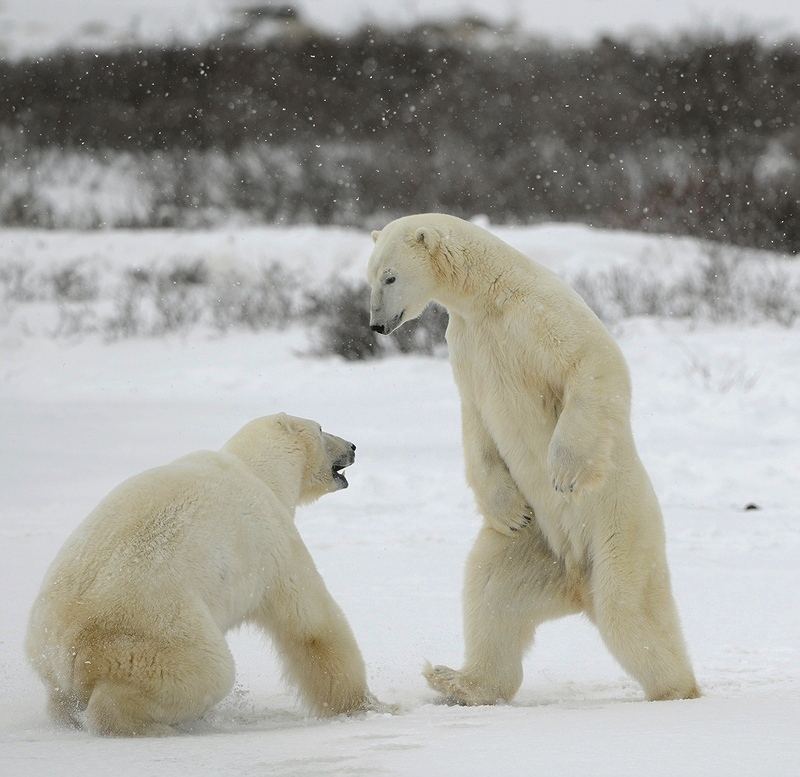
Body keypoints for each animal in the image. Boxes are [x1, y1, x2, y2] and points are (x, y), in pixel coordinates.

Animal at [28, 412, 384, 732]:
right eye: (322, 429)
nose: (353, 446)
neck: (254, 469)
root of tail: (67, 649)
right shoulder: (273, 540)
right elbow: (311, 623)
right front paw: (369, 706)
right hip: (156, 634)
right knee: (207, 672)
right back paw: (152, 726)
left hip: (46, 653)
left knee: (58, 700)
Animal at [368, 212, 700, 704]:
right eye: (368, 277)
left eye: (390, 276)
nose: (375, 325)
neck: (487, 295)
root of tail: (577, 584)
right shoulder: (465, 344)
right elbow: (476, 424)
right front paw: (508, 511)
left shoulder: (538, 312)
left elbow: (592, 359)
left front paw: (562, 470)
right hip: (534, 547)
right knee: (490, 592)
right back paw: (458, 681)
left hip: (620, 526)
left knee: (628, 609)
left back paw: (677, 691)